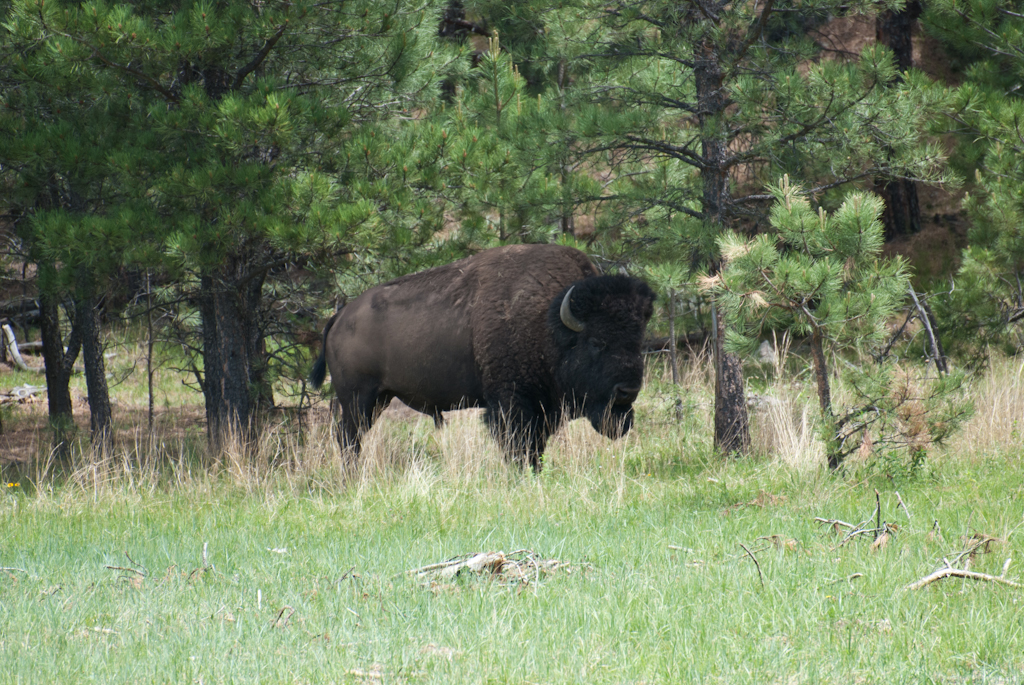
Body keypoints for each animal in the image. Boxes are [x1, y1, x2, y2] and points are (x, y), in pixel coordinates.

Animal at [307, 244, 651, 471]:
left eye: (638, 340)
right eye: (597, 342)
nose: (627, 391)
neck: (549, 322)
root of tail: (339, 316)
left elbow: (535, 446)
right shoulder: (511, 403)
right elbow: (518, 446)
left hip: (378, 399)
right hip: (358, 399)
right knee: (348, 438)